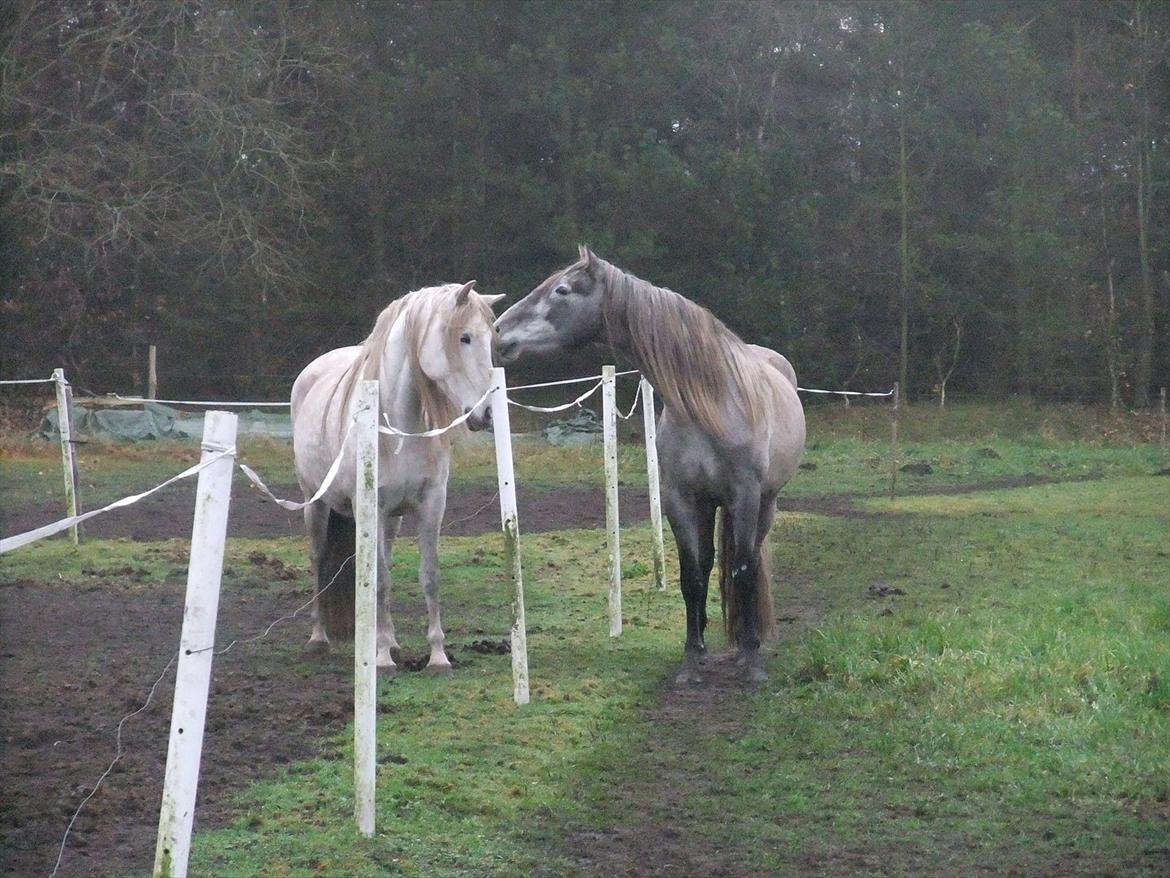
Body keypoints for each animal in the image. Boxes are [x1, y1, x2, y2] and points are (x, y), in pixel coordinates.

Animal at [290, 282, 500, 674]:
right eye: (463, 337)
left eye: (491, 337)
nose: (487, 414)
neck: (398, 425)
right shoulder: (369, 507)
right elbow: (380, 580)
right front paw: (382, 658)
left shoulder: (431, 503)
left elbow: (429, 575)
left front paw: (437, 656)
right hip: (317, 503)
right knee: (319, 560)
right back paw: (320, 638)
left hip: (392, 519)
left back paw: (389, 640)